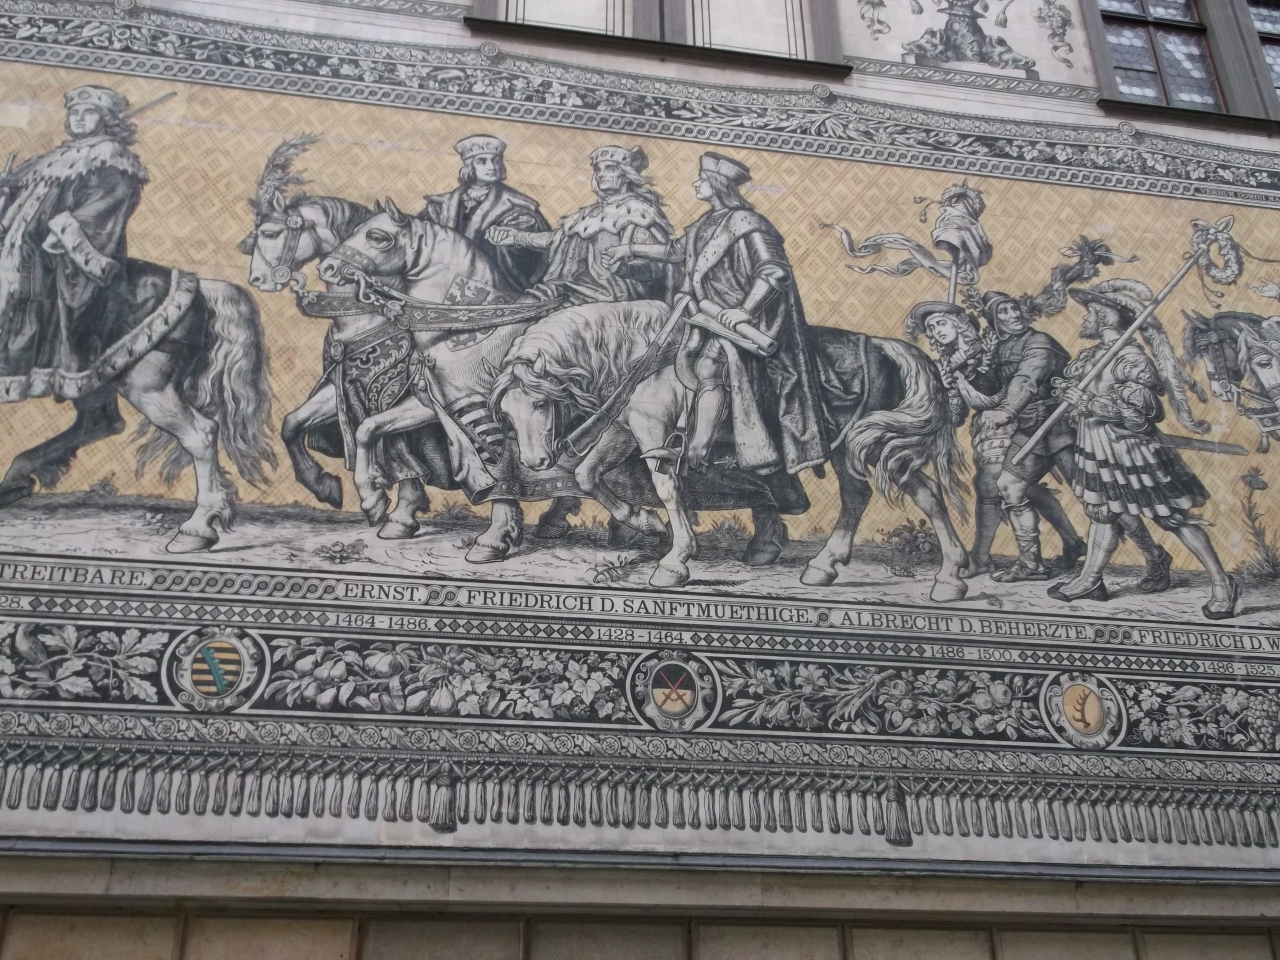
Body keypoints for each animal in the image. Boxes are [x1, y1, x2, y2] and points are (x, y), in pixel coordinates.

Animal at [0, 261, 273, 553]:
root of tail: (200, 286)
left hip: (148, 389)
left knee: (201, 433)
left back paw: (196, 529)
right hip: (99, 377)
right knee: (100, 422)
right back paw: (13, 481)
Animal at [491, 300, 970, 600]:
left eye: (540, 403)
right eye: (508, 413)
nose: (536, 461)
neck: (640, 353)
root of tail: (884, 346)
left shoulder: (653, 434)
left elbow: (667, 489)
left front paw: (675, 561)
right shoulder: (626, 430)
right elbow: (588, 474)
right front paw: (644, 521)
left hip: (858, 445)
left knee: (889, 495)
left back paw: (938, 576)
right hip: (859, 445)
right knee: (897, 494)